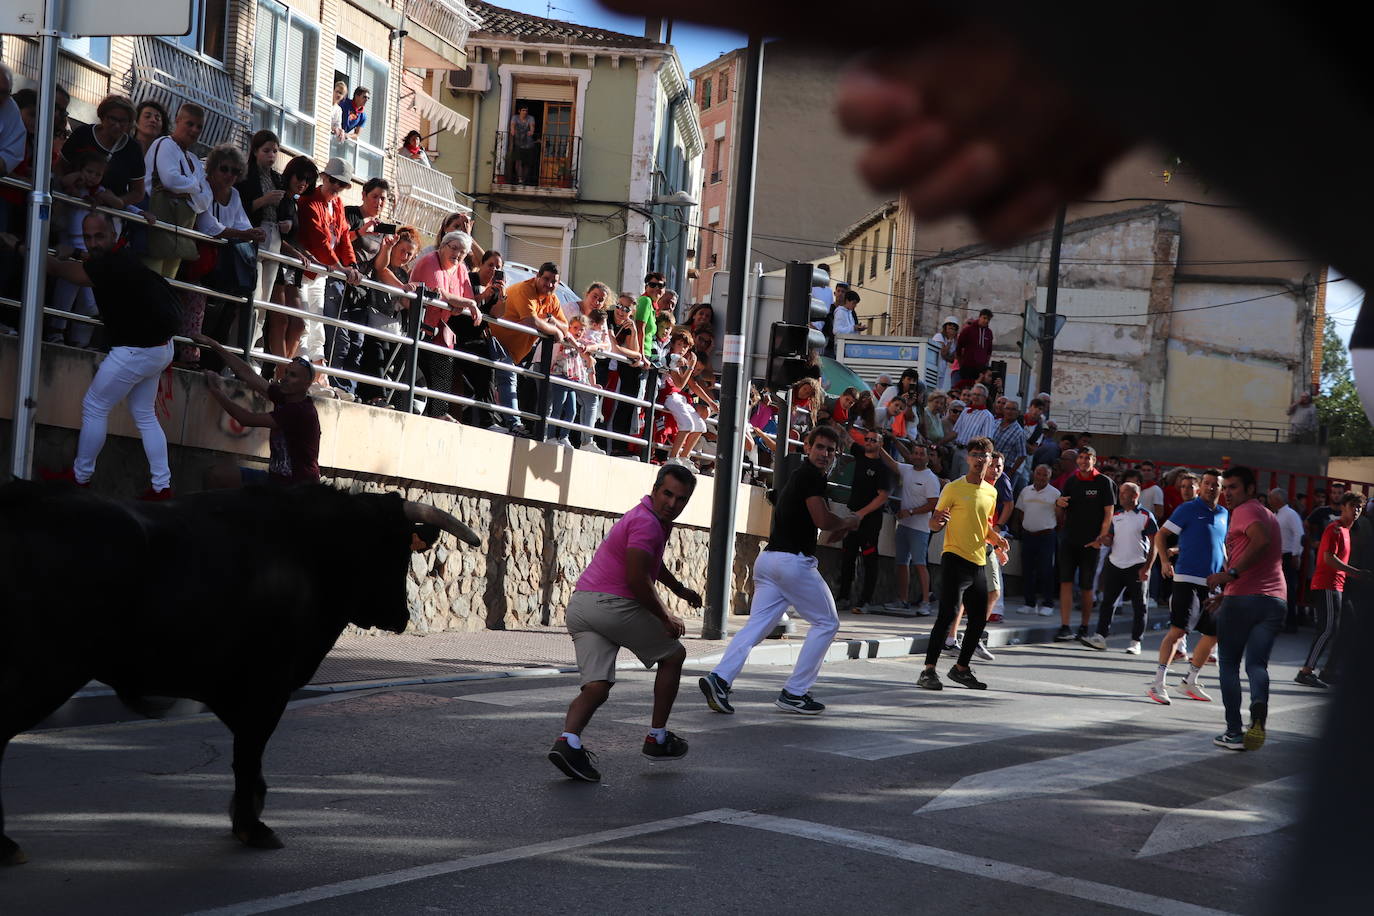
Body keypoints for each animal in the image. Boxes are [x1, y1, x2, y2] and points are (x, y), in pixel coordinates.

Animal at [0, 480, 483, 867]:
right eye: (395, 549)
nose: (401, 616)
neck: (308, 550)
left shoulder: (231, 687)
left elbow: (247, 756)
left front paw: (249, 808)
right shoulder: (267, 685)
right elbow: (248, 754)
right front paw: (252, 826)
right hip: (48, 670)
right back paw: (4, 844)